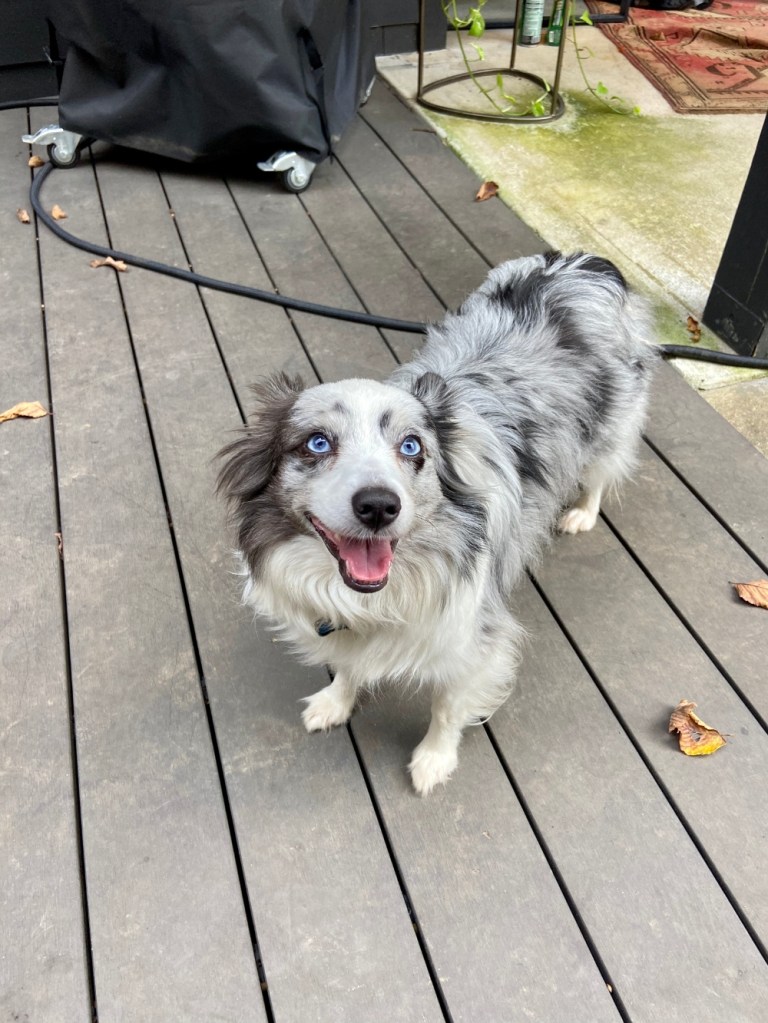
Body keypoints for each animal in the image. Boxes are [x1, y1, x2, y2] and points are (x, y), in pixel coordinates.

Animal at [216, 251, 654, 793]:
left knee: (601, 471)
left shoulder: (474, 635)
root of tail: (585, 262)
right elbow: (348, 665)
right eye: (317, 442)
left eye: (411, 447)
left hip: (612, 428)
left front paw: (433, 761)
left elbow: (448, 704)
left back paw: (580, 514)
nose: (379, 506)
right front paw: (335, 703)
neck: (380, 593)